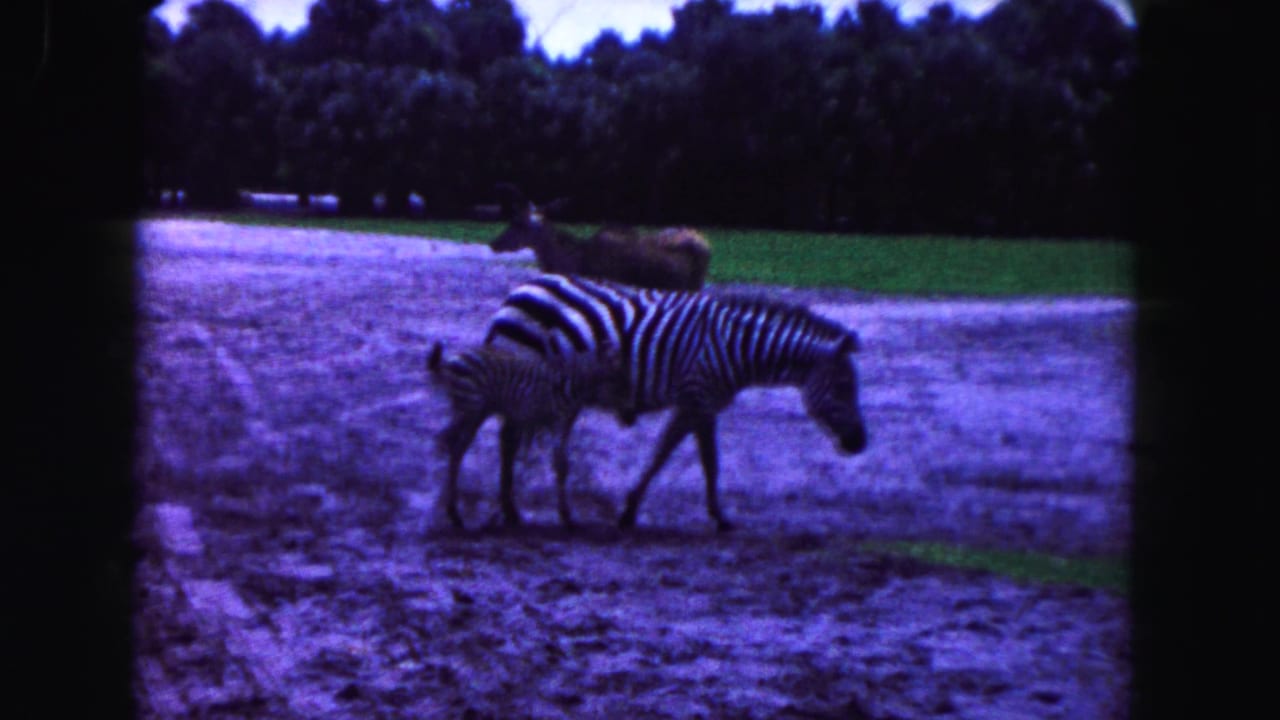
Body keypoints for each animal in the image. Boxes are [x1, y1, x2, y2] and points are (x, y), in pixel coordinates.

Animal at [427, 340, 624, 529]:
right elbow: (559, 463)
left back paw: (453, 511)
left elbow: (562, 463)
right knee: (453, 444)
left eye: (619, 373)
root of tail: (452, 358)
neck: (573, 384)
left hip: (476, 411)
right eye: (612, 373)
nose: (625, 412)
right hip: (470, 406)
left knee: (456, 446)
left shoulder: (564, 422)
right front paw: (565, 516)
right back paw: (452, 511)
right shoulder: (558, 420)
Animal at [483, 273, 868, 531]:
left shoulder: (699, 403)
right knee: (509, 438)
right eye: (843, 387)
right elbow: (690, 459)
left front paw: (638, 510)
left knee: (510, 437)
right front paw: (714, 517)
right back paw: (513, 510)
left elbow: (683, 457)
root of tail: (522, 287)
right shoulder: (696, 397)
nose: (860, 443)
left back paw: (513, 508)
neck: (735, 348)